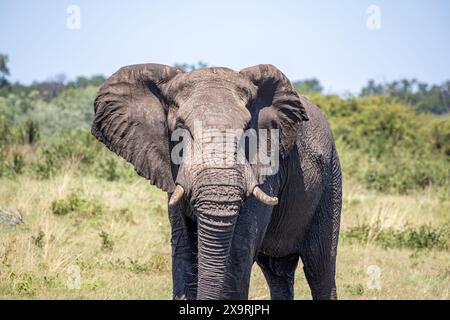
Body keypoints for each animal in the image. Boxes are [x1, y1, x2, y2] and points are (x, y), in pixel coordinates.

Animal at [91, 63, 342, 300]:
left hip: (331, 179)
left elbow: (238, 254)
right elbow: (183, 248)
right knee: (277, 272)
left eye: (247, 130)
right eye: (180, 129)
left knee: (319, 267)